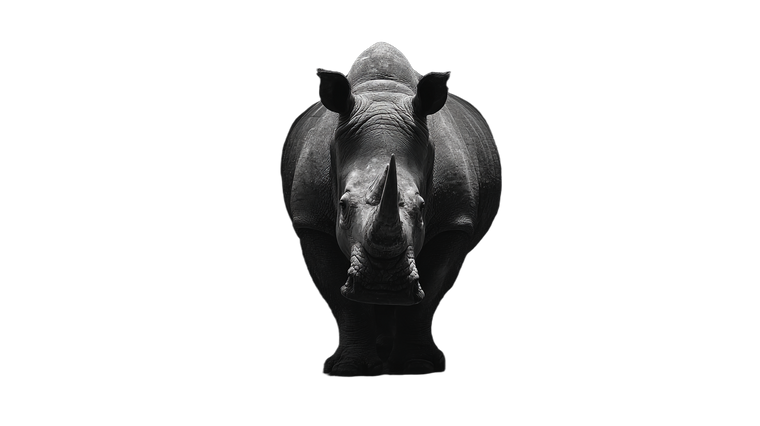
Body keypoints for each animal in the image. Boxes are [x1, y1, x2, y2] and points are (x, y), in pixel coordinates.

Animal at [278, 41, 503, 378]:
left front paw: (419, 366)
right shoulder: (311, 220)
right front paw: (348, 368)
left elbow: (429, 294)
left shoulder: (454, 222)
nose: (382, 283)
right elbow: (341, 298)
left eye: (422, 209)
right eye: (343, 207)